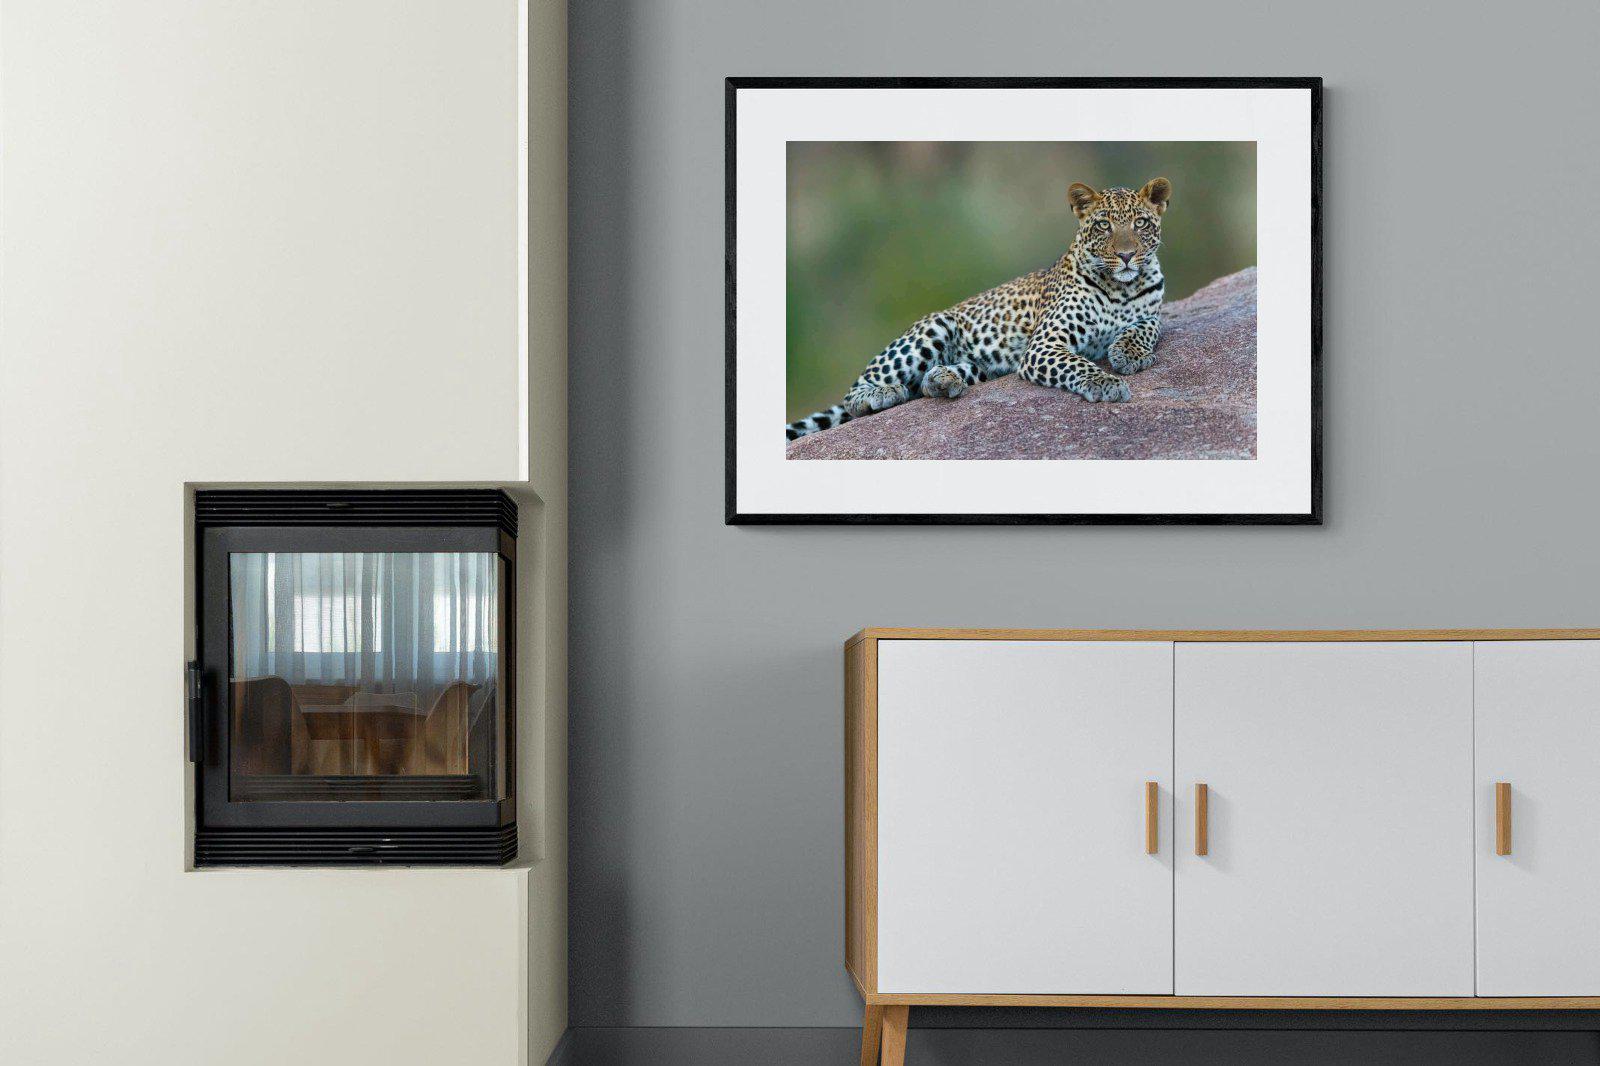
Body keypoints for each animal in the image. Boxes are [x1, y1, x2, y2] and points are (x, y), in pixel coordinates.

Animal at [785, 177, 1172, 440]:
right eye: (1104, 224)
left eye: (1140, 223)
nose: (1126, 255)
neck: (1122, 286)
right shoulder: (1045, 345)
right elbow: (1078, 363)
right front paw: (1106, 382)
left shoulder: (1152, 312)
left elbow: (1147, 327)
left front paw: (1128, 353)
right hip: (933, 327)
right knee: (857, 392)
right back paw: (884, 393)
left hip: (982, 366)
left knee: (928, 382)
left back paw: (942, 381)